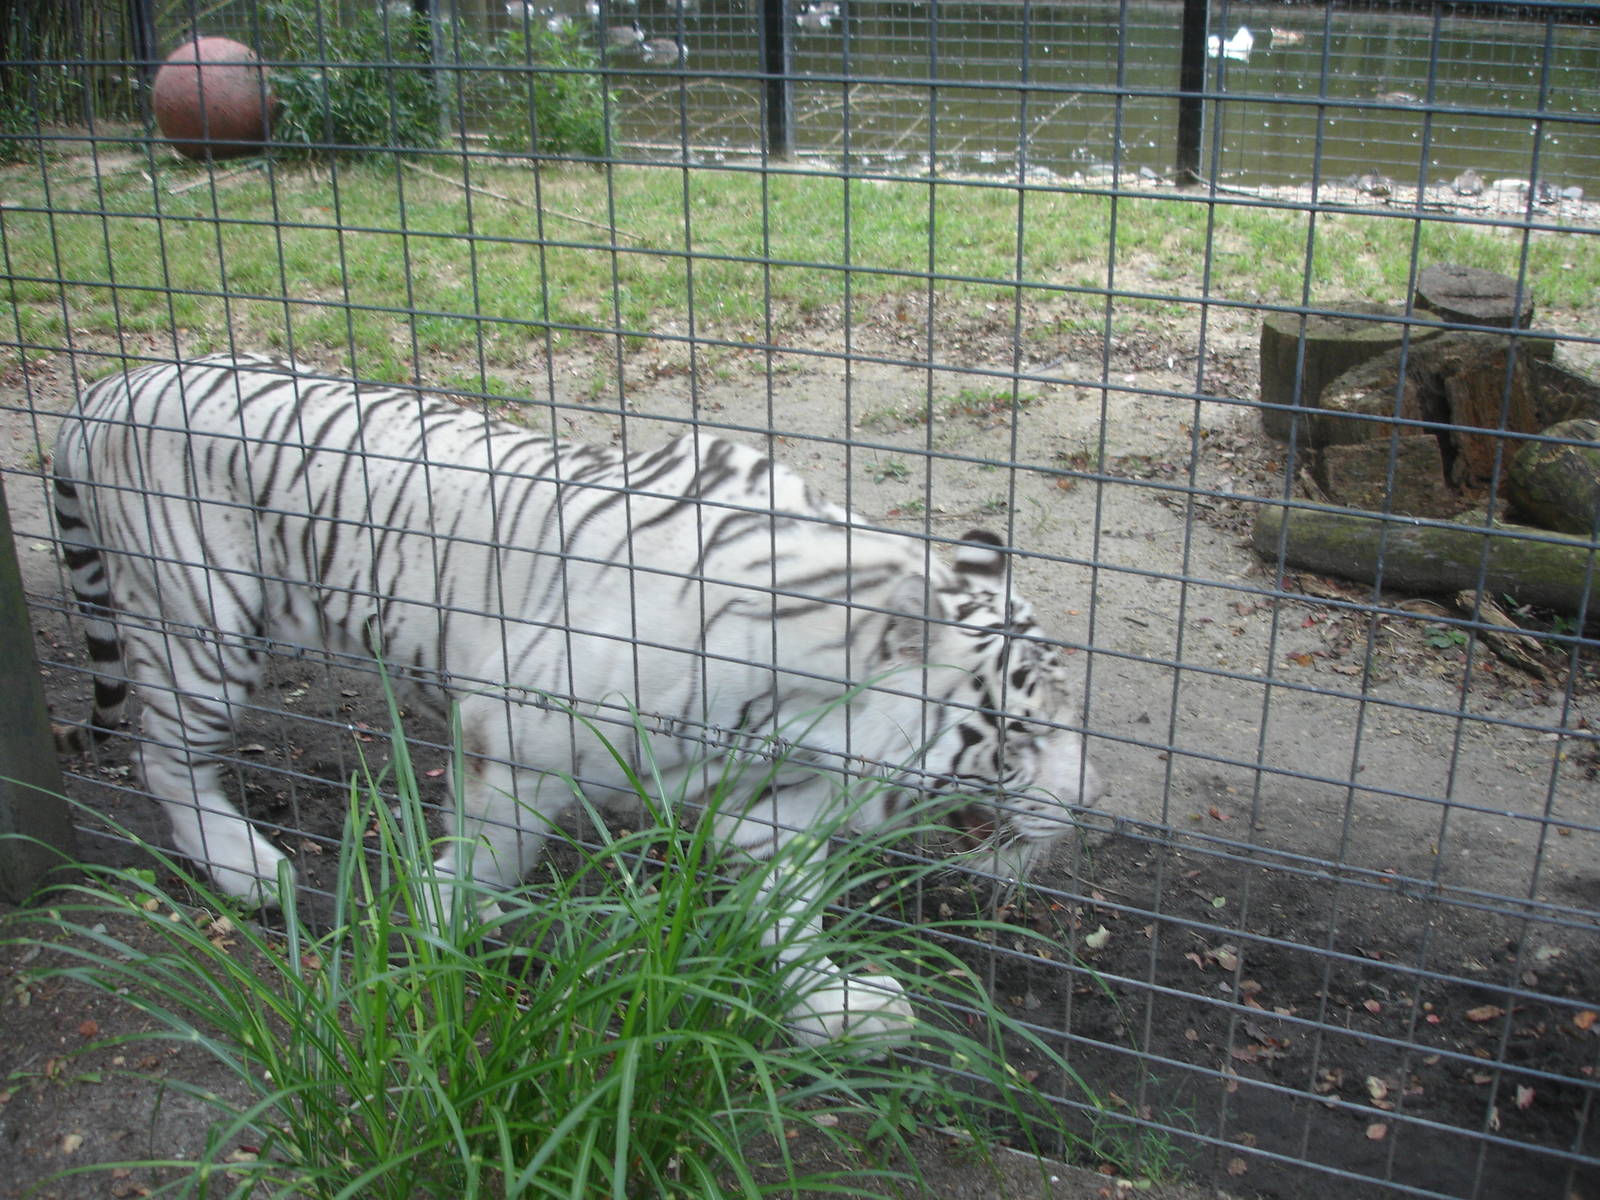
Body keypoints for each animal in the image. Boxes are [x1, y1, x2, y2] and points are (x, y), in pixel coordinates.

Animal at [51, 351, 1105, 1044]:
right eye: (1014, 730)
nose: (1087, 804)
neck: (806, 714)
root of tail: (107, 386)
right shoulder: (510, 736)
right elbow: (491, 855)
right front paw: (438, 932)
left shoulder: (766, 804)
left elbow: (786, 906)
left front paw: (831, 1007)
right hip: (201, 625)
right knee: (160, 754)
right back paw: (248, 870)